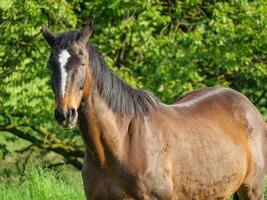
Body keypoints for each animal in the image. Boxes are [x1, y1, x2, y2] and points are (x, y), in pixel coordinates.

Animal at [42, 19, 267, 200]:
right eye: (50, 65)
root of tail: (248, 107)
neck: (120, 143)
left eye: (82, 62)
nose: (65, 114)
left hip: (251, 190)